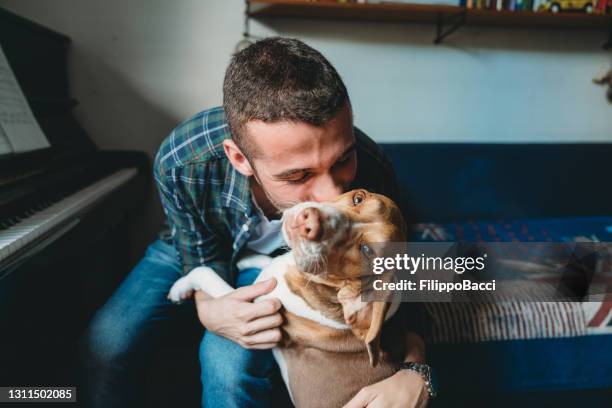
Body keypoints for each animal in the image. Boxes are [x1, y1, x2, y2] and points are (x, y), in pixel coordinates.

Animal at [169, 190, 406, 406]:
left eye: (366, 250)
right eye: (358, 198)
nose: (309, 221)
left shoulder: (250, 305)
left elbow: (204, 273)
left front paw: (179, 288)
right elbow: (267, 260)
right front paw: (246, 258)